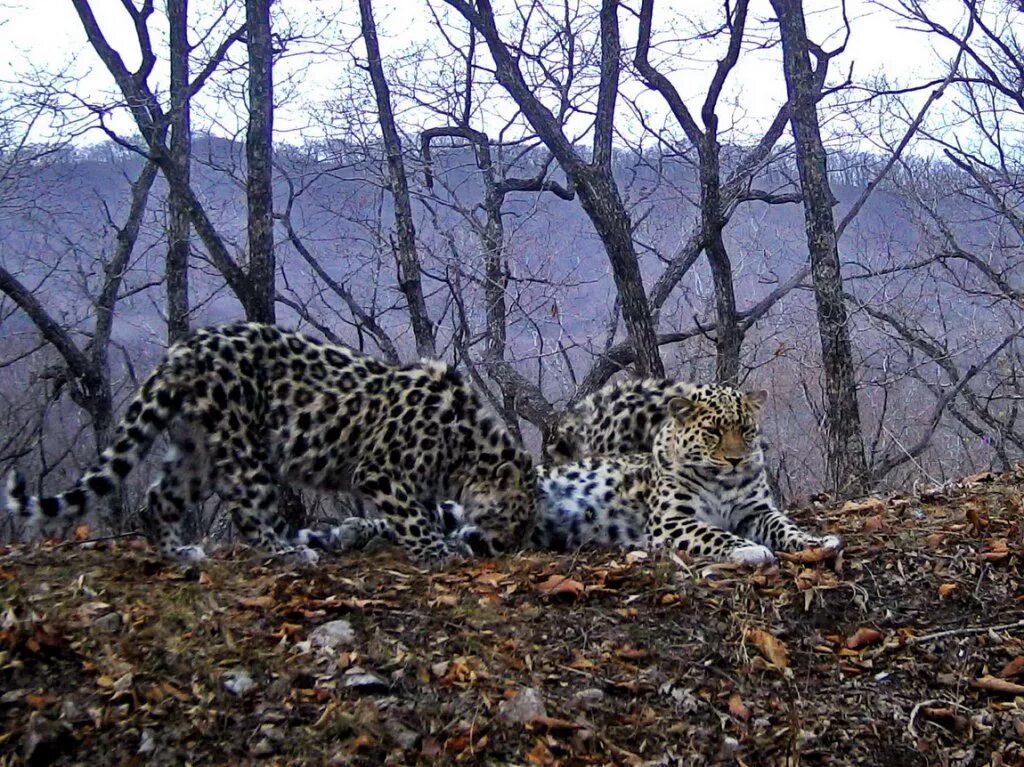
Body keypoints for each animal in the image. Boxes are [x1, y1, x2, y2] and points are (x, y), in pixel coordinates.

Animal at [6, 319, 536, 565]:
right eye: (516, 514)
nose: (510, 545)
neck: (464, 448)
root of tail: (183, 348)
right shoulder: (382, 472)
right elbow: (412, 518)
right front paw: (439, 551)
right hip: (243, 445)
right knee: (246, 510)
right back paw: (286, 553)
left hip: (197, 449)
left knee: (157, 500)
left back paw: (180, 552)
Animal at [528, 382, 839, 561]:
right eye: (713, 432)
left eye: (746, 430)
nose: (736, 460)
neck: (723, 483)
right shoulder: (671, 519)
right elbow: (712, 533)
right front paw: (748, 548)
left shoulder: (756, 511)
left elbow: (786, 526)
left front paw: (816, 541)